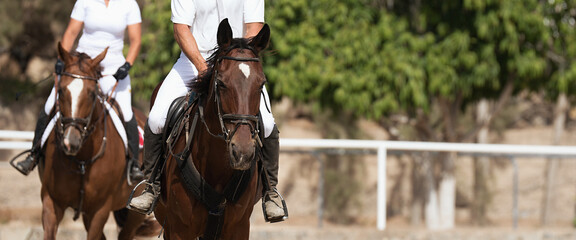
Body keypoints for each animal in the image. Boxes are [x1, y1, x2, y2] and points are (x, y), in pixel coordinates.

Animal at [39, 43, 159, 240]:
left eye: (91, 93)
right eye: (61, 90)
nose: (70, 142)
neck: (82, 159)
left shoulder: (100, 210)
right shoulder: (51, 202)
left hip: (134, 212)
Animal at [152, 19, 272, 239]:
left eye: (261, 84)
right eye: (221, 83)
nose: (242, 152)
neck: (217, 167)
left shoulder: (239, 227)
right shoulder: (179, 229)